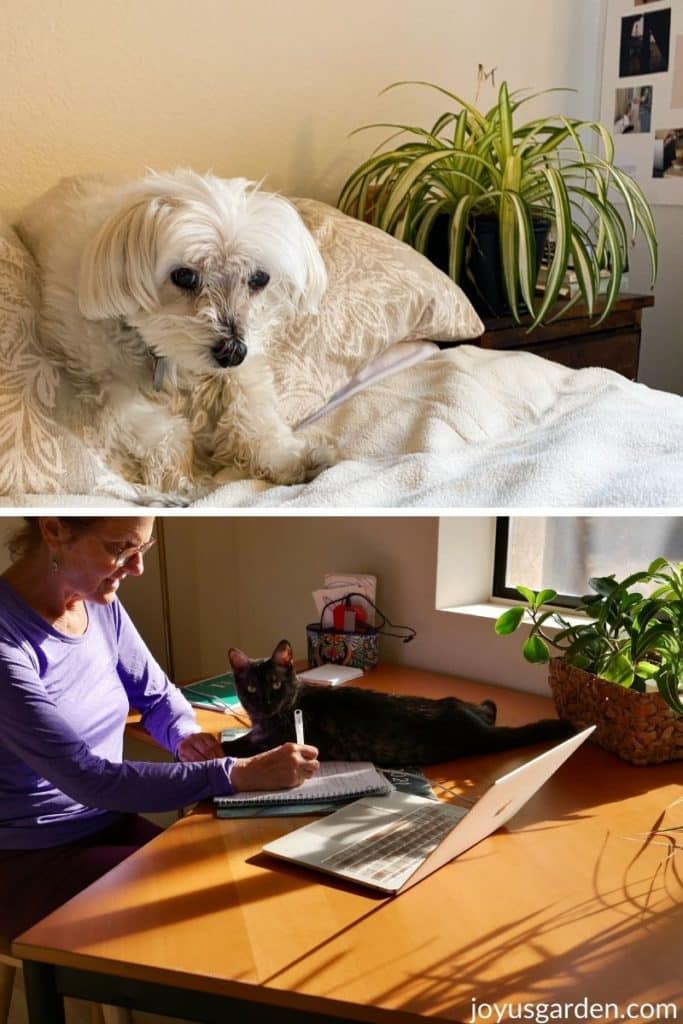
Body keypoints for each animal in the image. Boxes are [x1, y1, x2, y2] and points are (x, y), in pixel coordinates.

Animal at [17, 168, 331, 503]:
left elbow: (254, 407)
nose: (232, 351)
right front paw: (181, 479)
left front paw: (285, 457)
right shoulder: (111, 385)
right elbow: (164, 429)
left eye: (259, 278)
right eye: (184, 276)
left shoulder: (248, 361)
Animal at [220, 643, 573, 765]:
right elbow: (236, 740)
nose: (265, 703)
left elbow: (236, 748)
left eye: (275, 684)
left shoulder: (273, 742)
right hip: (465, 704)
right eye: (251, 687)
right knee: (490, 707)